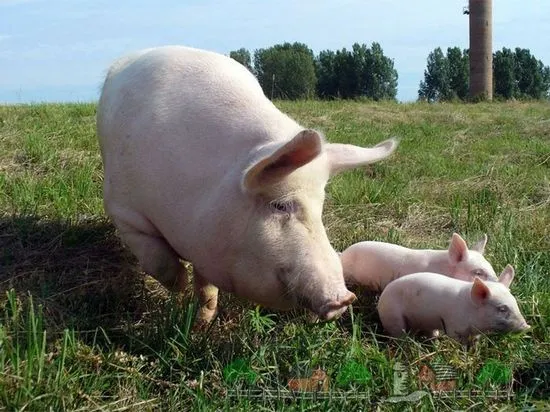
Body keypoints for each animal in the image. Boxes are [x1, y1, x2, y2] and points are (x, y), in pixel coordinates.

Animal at [94, 46, 396, 324]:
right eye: (280, 205)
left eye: (321, 208)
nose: (344, 299)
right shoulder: (123, 209)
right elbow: (157, 259)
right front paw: (179, 287)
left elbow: (206, 286)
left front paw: (203, 320)